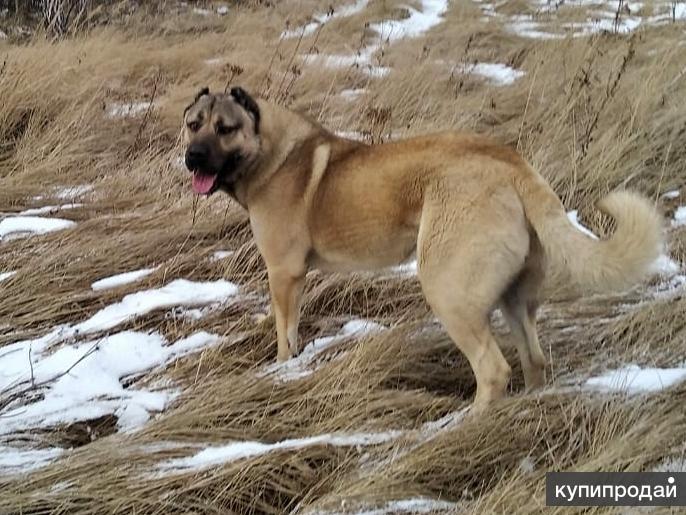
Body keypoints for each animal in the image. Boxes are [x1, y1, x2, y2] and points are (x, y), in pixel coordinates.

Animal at [183, 86, 668, 414]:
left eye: (225, 129)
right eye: (193, 124)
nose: (192, 158)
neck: (271, 152)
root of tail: (513, 165)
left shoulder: (283, 274)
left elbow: (285, 334)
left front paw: (282, 370)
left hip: (448, 291)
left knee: (493, 369)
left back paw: (467, 422)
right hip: (514, 297)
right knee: (533, 359)